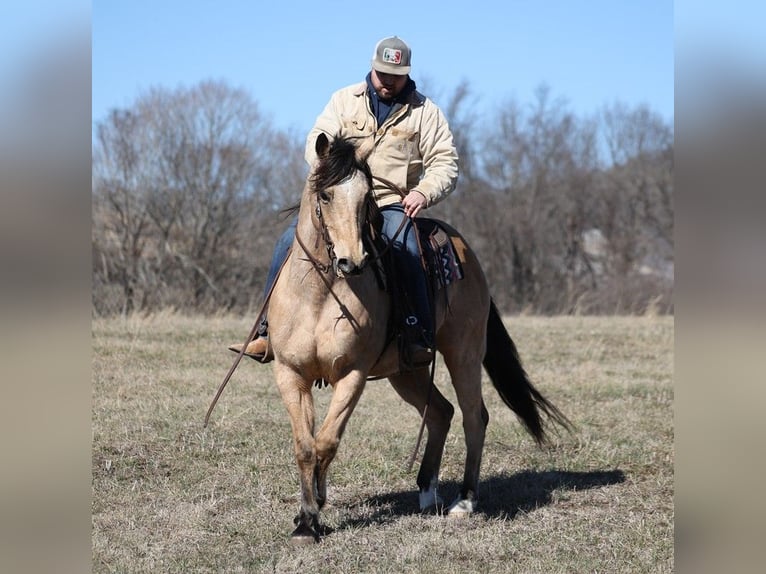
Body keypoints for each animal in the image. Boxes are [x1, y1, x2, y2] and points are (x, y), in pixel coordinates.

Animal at [210, 134, 568, 544]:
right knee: (441, 412)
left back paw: (464, 501)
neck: (319, 294)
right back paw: (427, 490)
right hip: (406, 370)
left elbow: (327, 441)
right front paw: (307, 517)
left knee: (473, 417)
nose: (352, 262)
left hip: (463, 353)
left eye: (366, 196)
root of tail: (465, 251)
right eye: (326, 195)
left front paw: (315, 511)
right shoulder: (290, 373)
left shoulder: (353, 375)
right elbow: (306, 446)